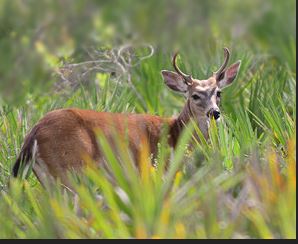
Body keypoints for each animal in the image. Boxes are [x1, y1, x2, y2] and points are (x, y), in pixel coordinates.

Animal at [12, 47, 242, 188]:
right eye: (194, 95)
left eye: (219, 93)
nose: (214, 113)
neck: (176, 135)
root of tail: (32, 133)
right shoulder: (157, 168)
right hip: (69, 169)